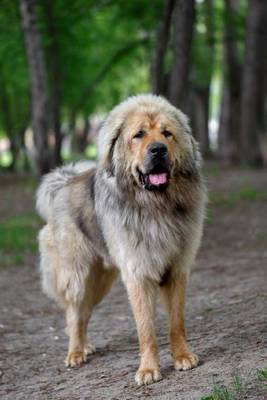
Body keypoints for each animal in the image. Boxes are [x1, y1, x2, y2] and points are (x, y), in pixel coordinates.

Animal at [36, 94, 207, 384]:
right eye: (138, 135)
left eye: (167, 134)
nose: (158, 150)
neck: (156, 208)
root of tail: (64, 183)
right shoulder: (138, 273)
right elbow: (146, 329)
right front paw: (148, 369)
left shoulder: (177, 269)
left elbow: (176, 321)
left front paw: (183, 356)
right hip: (77, 274)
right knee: (73, 313)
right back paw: (75, 352)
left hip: (101, 279)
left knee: (84, 313)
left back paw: (85, 346)